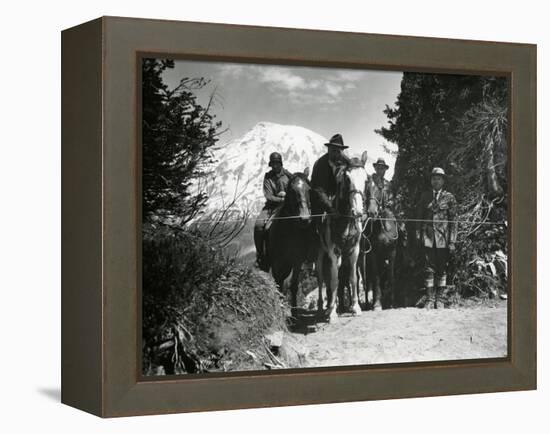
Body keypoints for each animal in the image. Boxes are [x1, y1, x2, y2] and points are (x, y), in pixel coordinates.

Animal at [270, 169, 316, 308]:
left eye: (309, 189)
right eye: (291, 190)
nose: (305, 219)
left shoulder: (297, 261)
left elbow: (294, 285)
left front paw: (294, 309)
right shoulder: (276, 263)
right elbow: (278, 285)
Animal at [316, 153, 368, 322]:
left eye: (366, 179)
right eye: (347, 178)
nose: (358, 211)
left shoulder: (354, 250)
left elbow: (353, 278)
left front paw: (355, 307)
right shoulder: (334, 252)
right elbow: (334, 280)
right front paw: (331, 313)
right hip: (320, 254)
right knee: (321, 278)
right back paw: (323, 308)